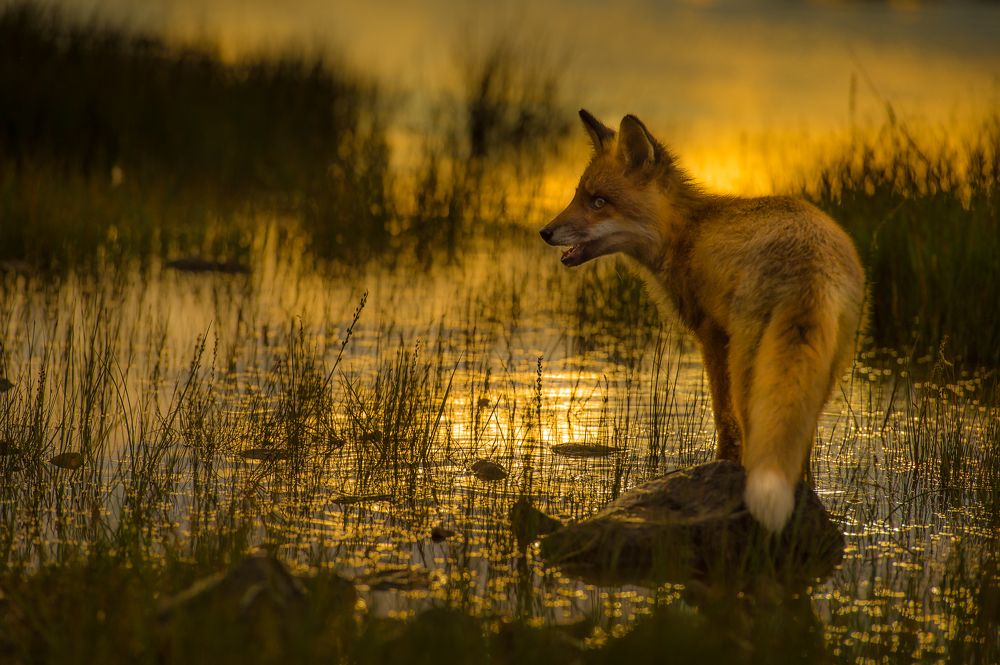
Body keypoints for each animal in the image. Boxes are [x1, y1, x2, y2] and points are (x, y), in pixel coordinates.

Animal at [540, 110, 865, 533]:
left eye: (599, 202)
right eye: (578, 196)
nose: (544, 232)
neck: (688, 232)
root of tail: (809, 264)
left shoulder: (712, 336)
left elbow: (724, 422)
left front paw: (719, 467)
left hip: (750, 372)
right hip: (819, 377)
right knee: (800, 447)